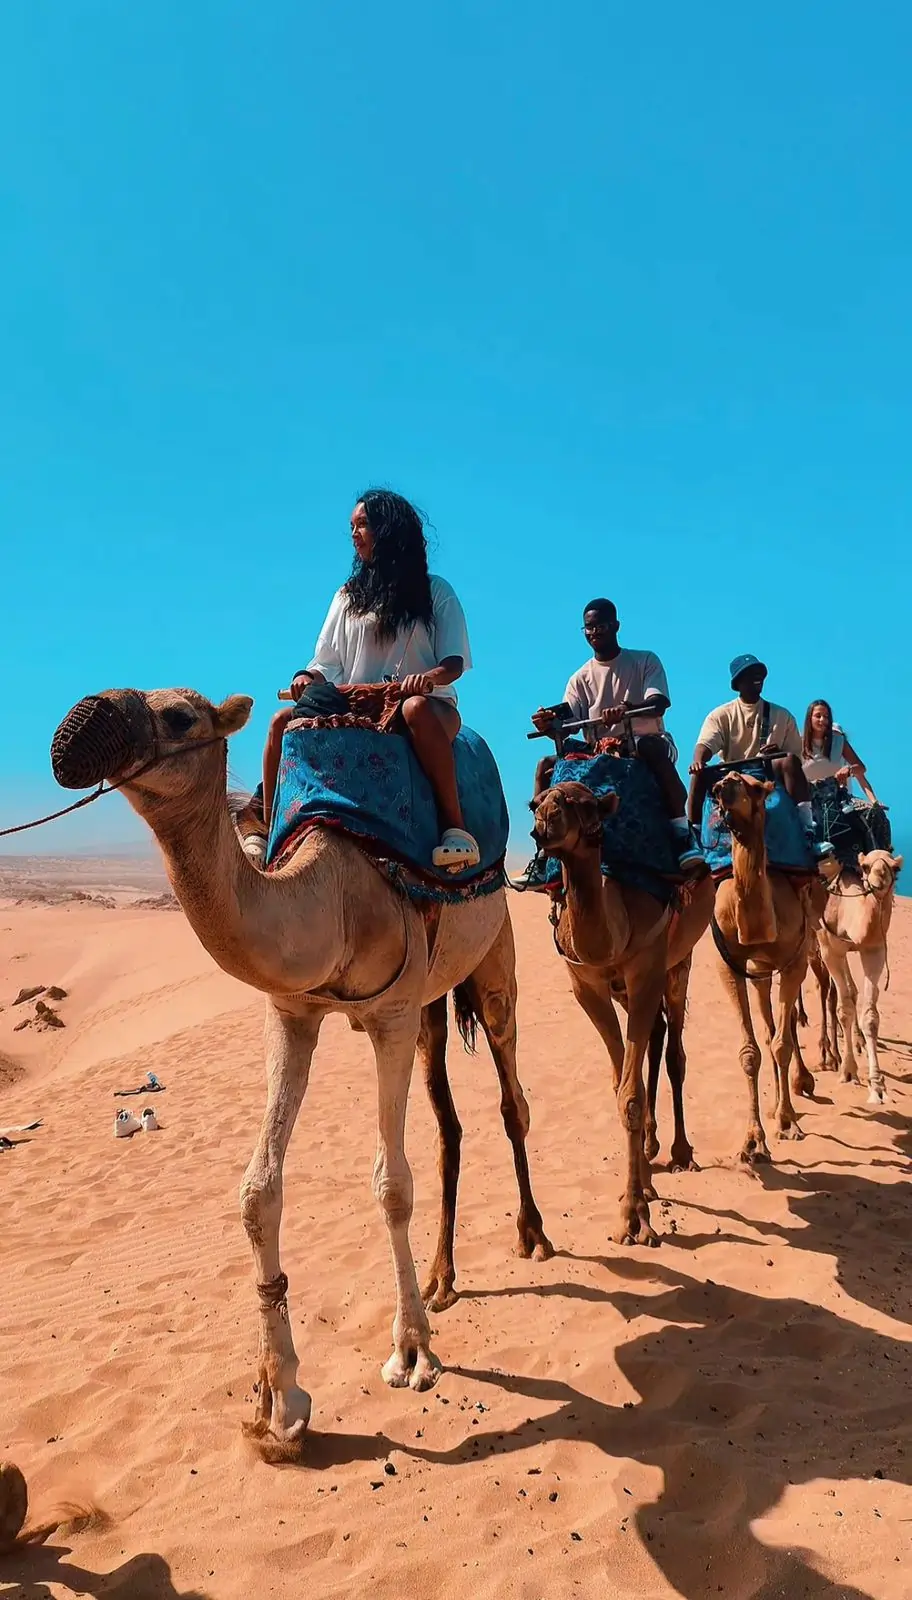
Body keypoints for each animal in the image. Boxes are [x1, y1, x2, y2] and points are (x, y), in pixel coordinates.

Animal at [50, 688, 551, 1460]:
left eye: (180, 717)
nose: (78, 725)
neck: (333, 899)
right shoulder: (291, 1012)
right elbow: (258, 1192)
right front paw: (280, 1401)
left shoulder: (391, 1014)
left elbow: (391, 1185)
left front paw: (411, 1352)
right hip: (434, 1005)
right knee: (450, 1123)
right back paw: (443, 1279)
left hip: (493, 955)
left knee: (511, 1095)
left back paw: (534, 1236)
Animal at [530, 781, 713, 1246]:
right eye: (537, 802)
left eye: (585, 804)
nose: (545, 822)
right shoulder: (587, 986)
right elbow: (623, 1087)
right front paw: (640, 1189)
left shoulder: (647, 968)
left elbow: (630, 1095)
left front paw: (634, 1219)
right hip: (625, 991)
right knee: (658, 1035)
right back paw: (650, 1155)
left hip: (678, 962)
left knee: (675, 1051)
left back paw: (681, 1152)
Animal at [710, 771, 826, 1163]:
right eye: (720, 780)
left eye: (757, 789)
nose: (721, 790)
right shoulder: (730, 964)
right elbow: (751, 1051)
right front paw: (753, 1141)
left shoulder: (793, 959)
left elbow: (782, 1045)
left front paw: (788, 1123)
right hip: (761, 971)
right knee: (771, 1026)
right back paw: (777, 1103)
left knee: (787, 1026)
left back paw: (799, 1086)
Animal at [816, 850, 903, 1105]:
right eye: (864, 866)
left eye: (896, 868)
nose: (880, 877)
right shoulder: (829, 948)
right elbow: (843, 1009)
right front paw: (847, 1071)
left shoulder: (873, 949)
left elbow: (870, 1016)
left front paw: (877, 1087)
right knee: (819, 991)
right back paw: (826, 1054)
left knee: (849, 991)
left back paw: (856, 1041)